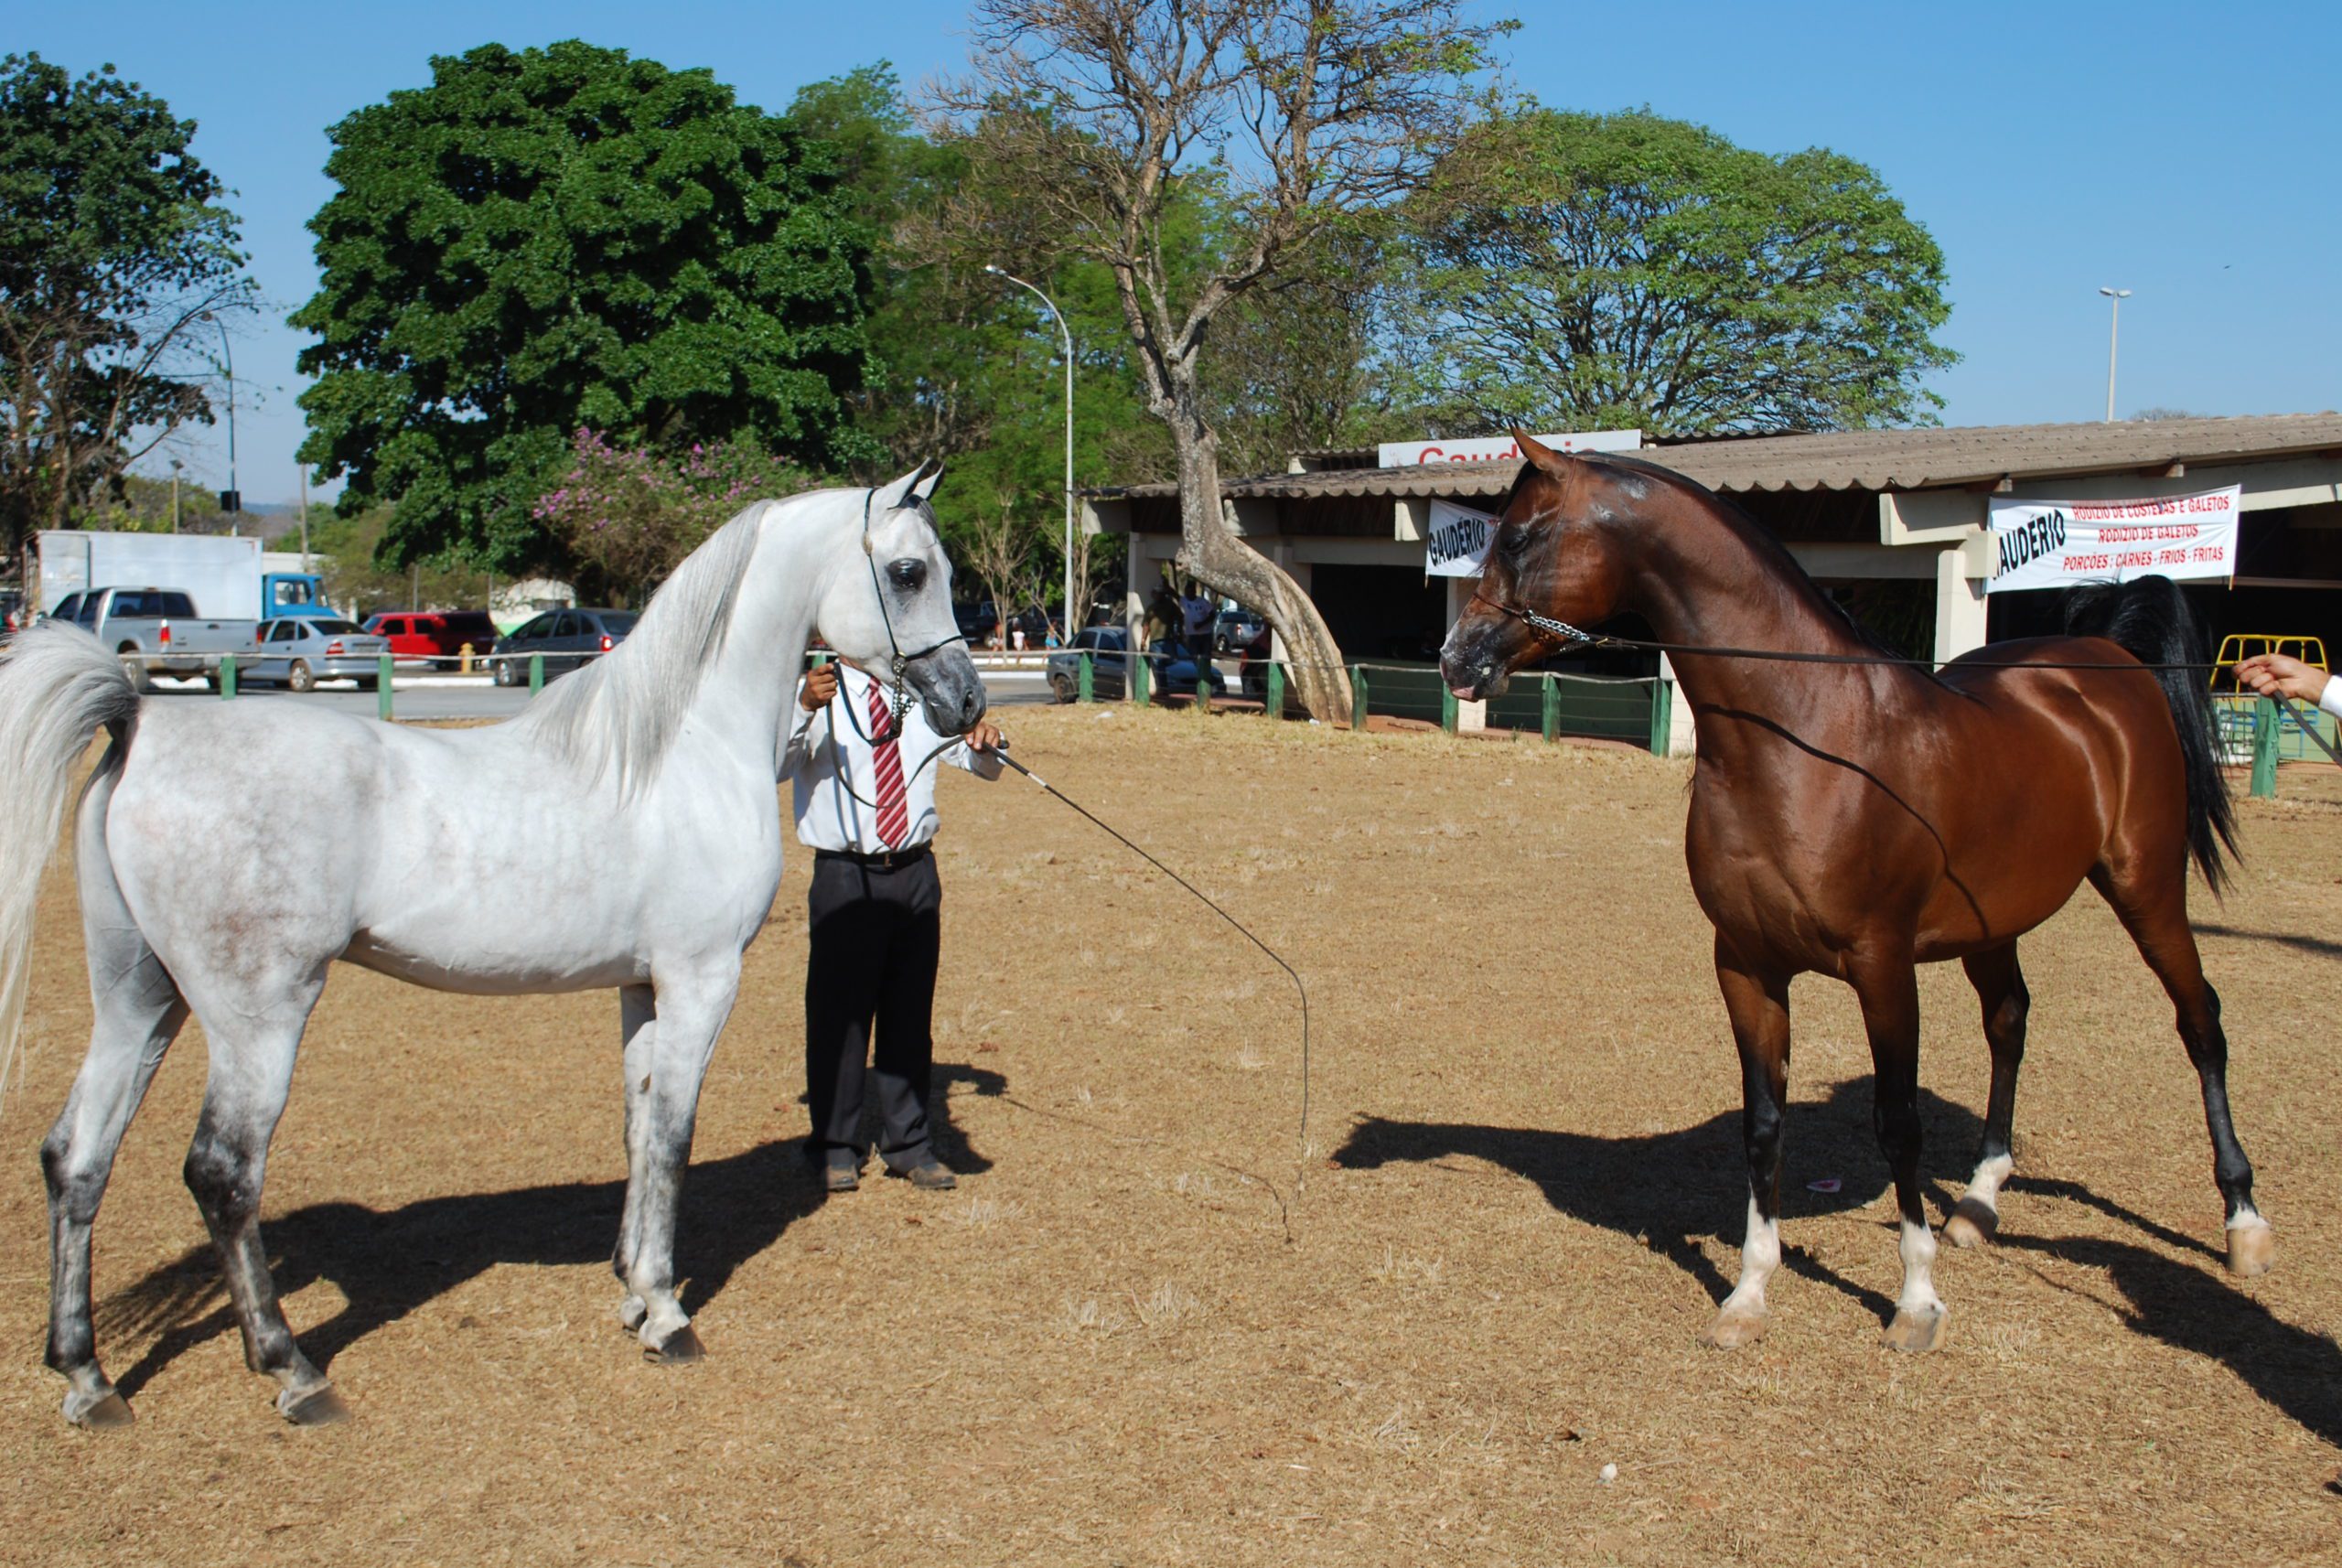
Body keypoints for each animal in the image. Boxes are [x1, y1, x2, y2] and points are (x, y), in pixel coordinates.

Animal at [0, 463, 979, 1423]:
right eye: (908, 573)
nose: (964, 700)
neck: (682, 750)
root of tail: (141, 724)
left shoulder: (641, 988)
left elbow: (637, 1126)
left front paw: (632, 1292)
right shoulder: (700, 981)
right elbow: (672, 1136)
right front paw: (667, 1315)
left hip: (138, 998)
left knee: (76, 1157)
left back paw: (87, 1379)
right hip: (256, 1020)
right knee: (223, 1174)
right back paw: (292, 1371)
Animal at [1442, 435, 2267, 1357]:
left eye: (1518, 538)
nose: (1456, 660)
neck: (1808, 737)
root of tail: (2109, 662)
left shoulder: (1883, 968)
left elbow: (1896, 1122)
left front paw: (1916, 1303)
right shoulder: (1747, 967)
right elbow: (1764, 1123)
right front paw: (1749, 1294)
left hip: (2146, 887)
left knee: (2200, 1023)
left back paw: (2242, 1221)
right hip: (1994, 926)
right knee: (2010, 1022)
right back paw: (1979, 1201)